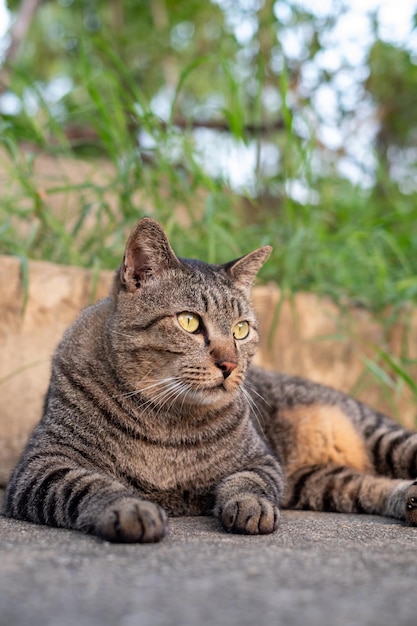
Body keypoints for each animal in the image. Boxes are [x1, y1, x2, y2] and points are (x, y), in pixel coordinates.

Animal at [2, 216, 416, 540]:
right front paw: (131, 508)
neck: (164, 420)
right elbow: (90, 484)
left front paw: (250, 506)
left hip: (381, 437)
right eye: (189, 322)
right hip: (319, 481)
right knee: (366, 485)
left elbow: (248, 482)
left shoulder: (262, 460)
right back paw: (408, 499)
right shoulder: (41, 465)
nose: (230, 364)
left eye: (241, 329)